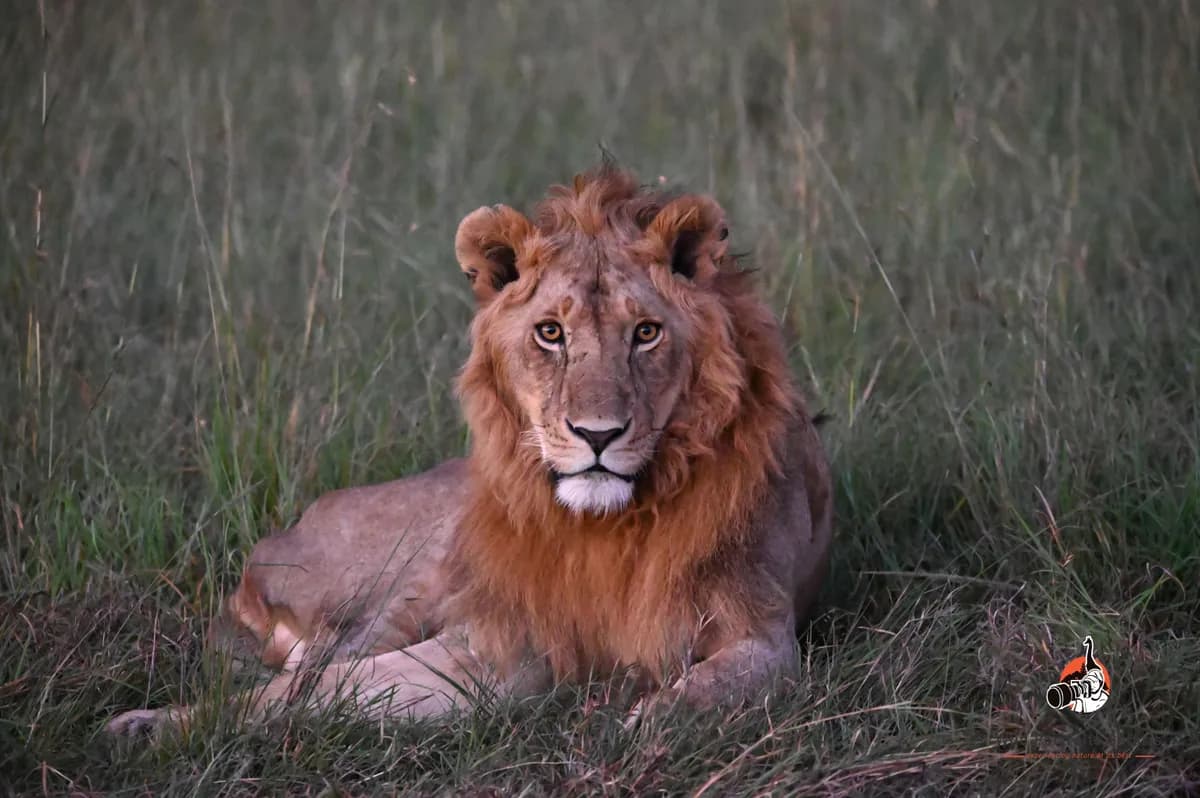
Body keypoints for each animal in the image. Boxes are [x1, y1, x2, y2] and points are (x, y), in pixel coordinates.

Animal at [106, 165, 833, 736]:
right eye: (550, 333)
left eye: (646, 333)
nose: (598, 435)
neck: (609, 529)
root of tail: (282, 537)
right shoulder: (501, 643)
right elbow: (333, 689)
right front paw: (160, 725)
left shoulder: (764, 634)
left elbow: (703, 692)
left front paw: (640, 721)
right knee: (312, 668)